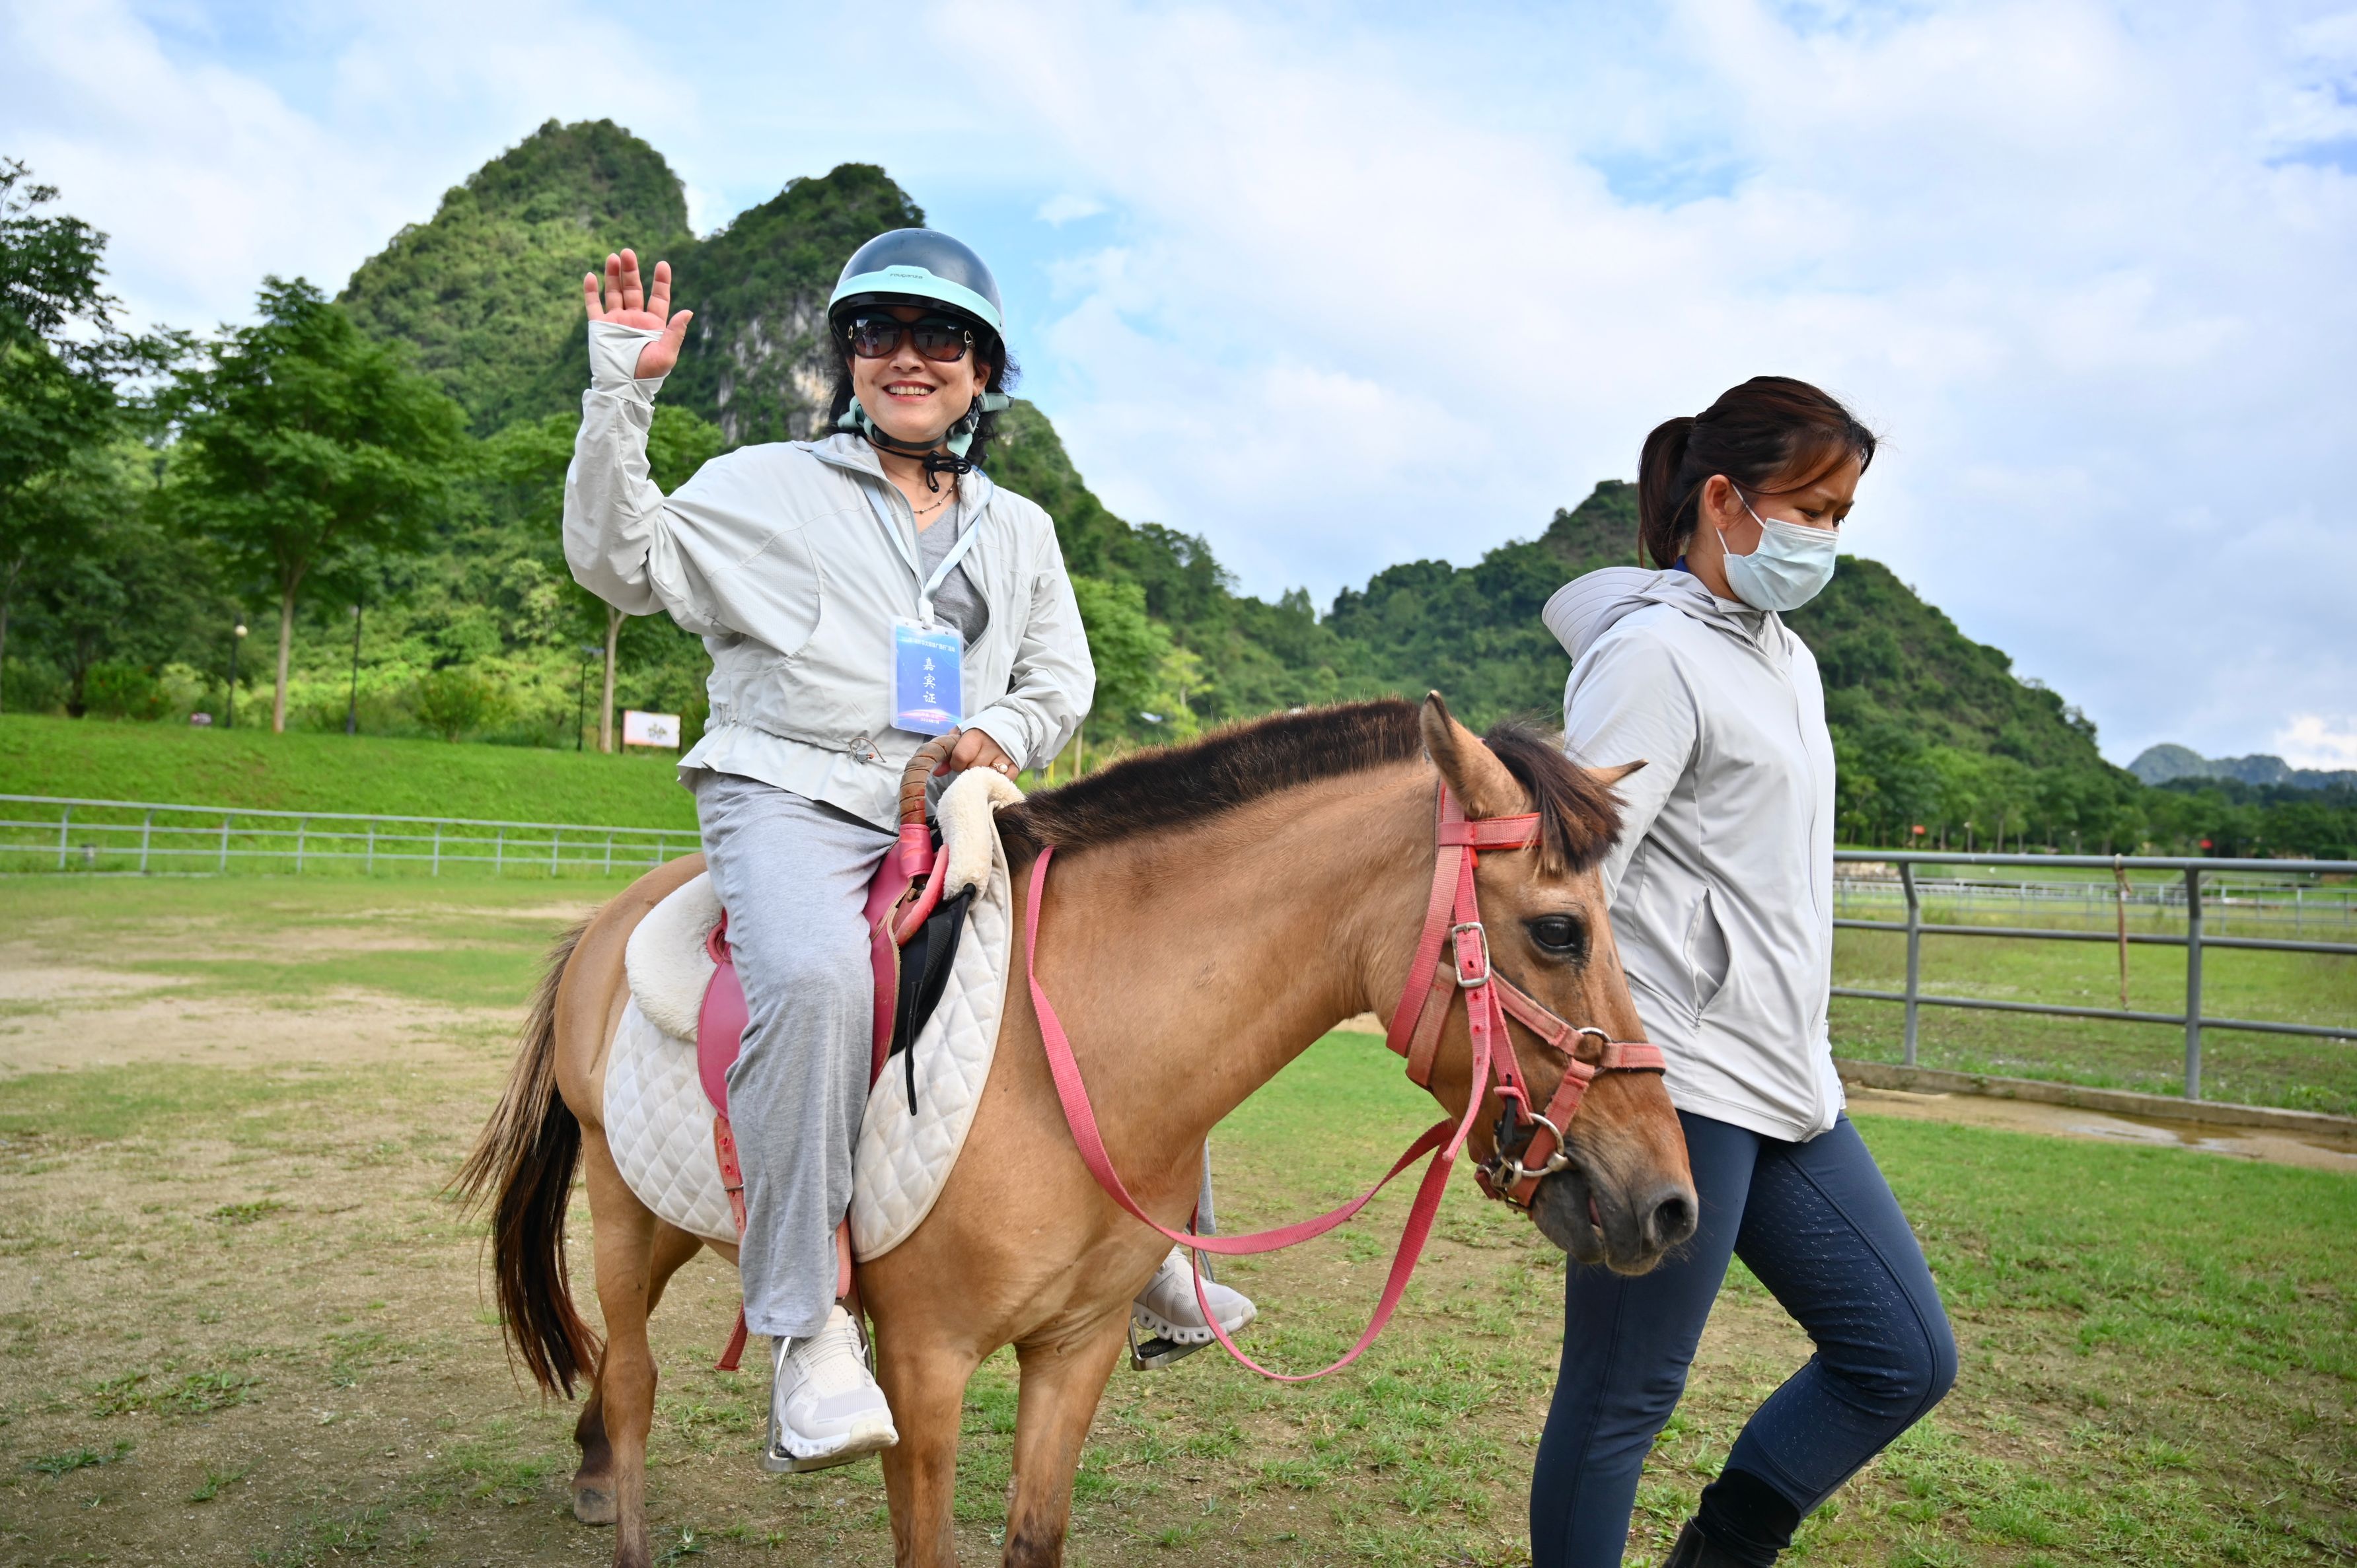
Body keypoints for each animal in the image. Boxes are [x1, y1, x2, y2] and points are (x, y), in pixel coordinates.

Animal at [454, 697, 1696, 1565]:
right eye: (1558, 929)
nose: (1671, 1203)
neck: (1061, 1052)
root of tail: (612, 917)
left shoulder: (1077, 1344)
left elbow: (1033, 1536)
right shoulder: (926, 1360)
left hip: (676, 1215)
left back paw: (591, 1469)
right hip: (621, 1205)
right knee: (634, 1379)